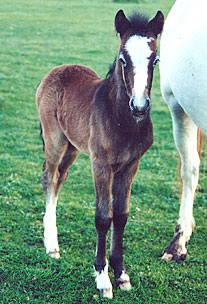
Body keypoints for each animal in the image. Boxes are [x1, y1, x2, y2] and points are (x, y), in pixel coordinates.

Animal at [36, 10, 164, 300]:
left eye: (155, 59)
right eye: (123, 59)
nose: (140, 106)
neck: (122, 121)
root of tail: (59, 69)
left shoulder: (131, 165)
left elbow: (122, 214)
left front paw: (122, 274)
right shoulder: (101, 164)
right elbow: (104, 217)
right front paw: (103, 278)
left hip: (72, 145)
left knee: (61, 177)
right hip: (54, 138)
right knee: (49, 176)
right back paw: (51, 245)